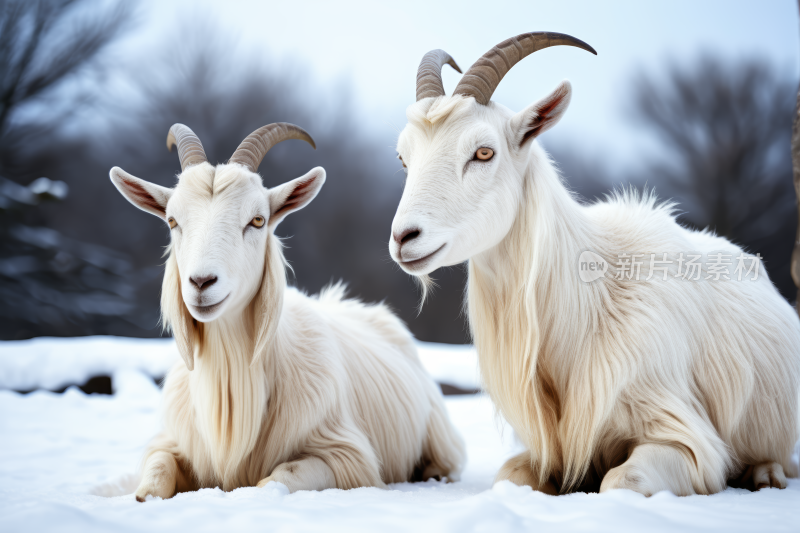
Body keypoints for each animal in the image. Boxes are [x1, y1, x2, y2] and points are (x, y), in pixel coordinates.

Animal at [109, 122, 466, 500]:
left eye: (257, 220)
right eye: (173, 221)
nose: (201, 282)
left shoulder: (346, 456)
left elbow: (280, 477)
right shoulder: (172, 443)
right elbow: (155, 475)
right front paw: (143, 495)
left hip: (440, 437)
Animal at [390, 33, 800, 496]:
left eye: (483, 152)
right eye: (404, 158)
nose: (404, 237)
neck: (591, 310)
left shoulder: (688, 440)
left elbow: (622, 479)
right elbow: (509, 476)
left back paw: (766, 474)